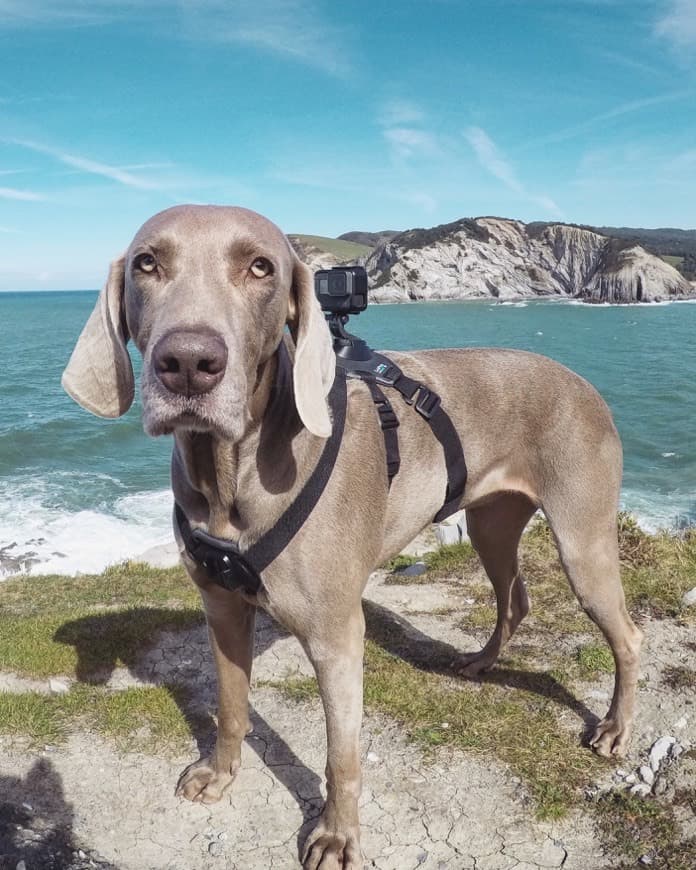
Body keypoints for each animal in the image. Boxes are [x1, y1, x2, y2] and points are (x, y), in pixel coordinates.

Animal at [62, 206, 644, 870]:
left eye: (260, 267)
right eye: (146, 263)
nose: (188, 362)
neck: (231, 473)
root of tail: (583, 381)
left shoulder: (336, 635)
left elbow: (341, 752)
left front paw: (337, 835)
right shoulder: (221, 606)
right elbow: (231, 706)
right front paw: (220, 772)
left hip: (581, 538)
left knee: (627, 635)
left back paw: (614, 728)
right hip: (490, 522)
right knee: (514, 597)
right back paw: (480, 661)